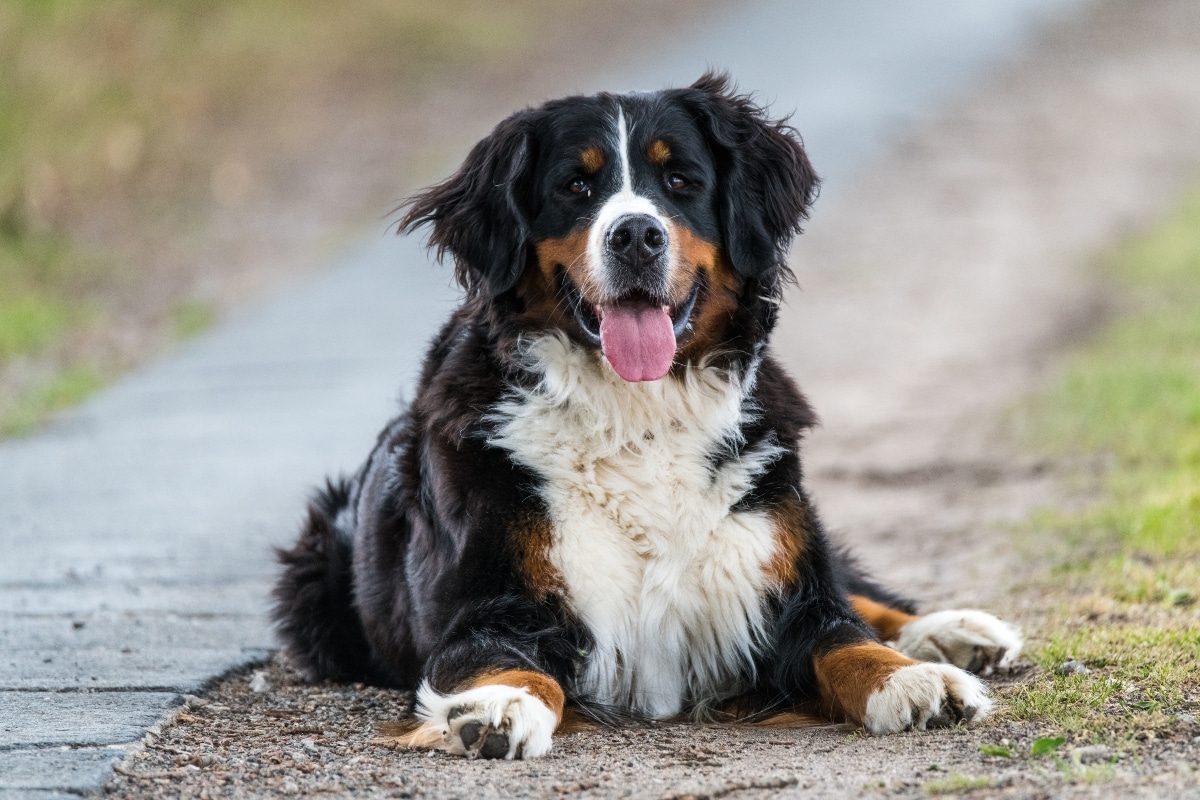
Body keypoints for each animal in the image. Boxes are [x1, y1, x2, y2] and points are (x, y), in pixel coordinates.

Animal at [273, 72, 1022, 760]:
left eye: (680, 179)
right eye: (575, 186)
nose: (636, 233)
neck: (638, 412)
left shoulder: (780, 584)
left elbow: (845, 638)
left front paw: (916, 679)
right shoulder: (487, 607)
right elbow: (508, 663)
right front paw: (498, 706)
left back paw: (958, 633)